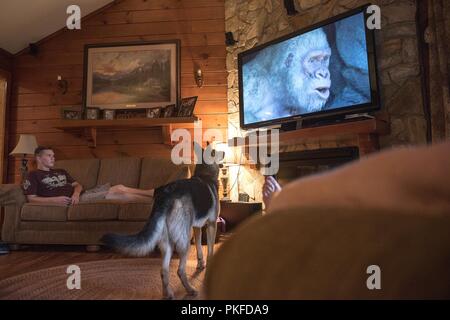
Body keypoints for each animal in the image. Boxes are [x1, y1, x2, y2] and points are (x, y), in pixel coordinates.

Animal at [101, 146, 222, 298]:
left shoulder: (197, 227)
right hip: (183, 242)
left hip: (167, 243)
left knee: (163, 271)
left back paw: (168, 294)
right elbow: (210, 250)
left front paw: (201, 263)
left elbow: (200, 247)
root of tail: (166, 194)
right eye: (215, 152)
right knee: (179, 270)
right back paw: (190, 290)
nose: (224, 153)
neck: (205, 174)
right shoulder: (212, 224)